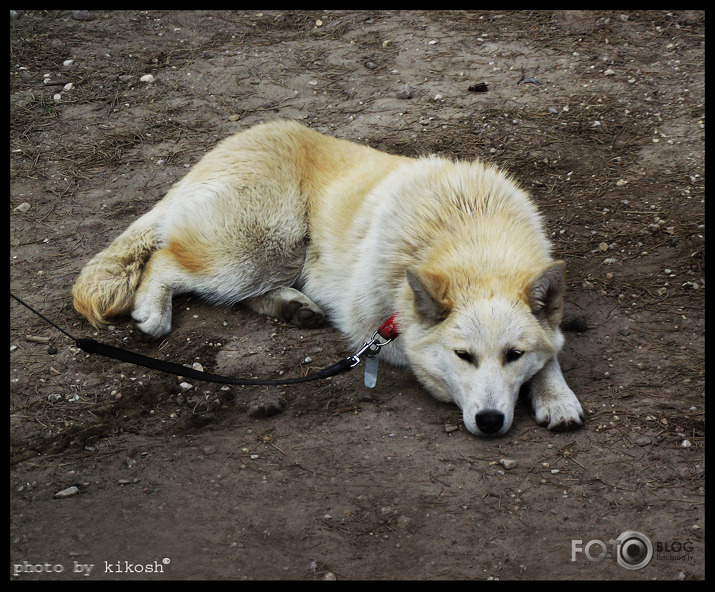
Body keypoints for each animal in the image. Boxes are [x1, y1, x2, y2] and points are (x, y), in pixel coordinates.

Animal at [74, 119, 588, 434]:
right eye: (463, 356)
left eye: (513, 354)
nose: (489, 421)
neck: (470, 229)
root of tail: (220, 150)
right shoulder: (374, 330)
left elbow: (550, 350)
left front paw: (555, 396)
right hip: (257, 246)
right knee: (165, 260)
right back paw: (154, 311)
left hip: (271, 259)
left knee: (236, 291)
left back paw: (293, 307)